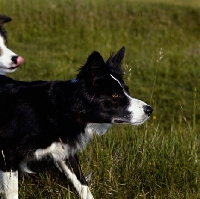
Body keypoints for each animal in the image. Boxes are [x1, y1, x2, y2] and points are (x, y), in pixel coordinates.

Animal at [0, 46, 153, 197]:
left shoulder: (65, 150)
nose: (149, 110)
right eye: (115, 95)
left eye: (127, 91)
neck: (59, 110)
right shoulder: (8, 154)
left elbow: (83, 185)